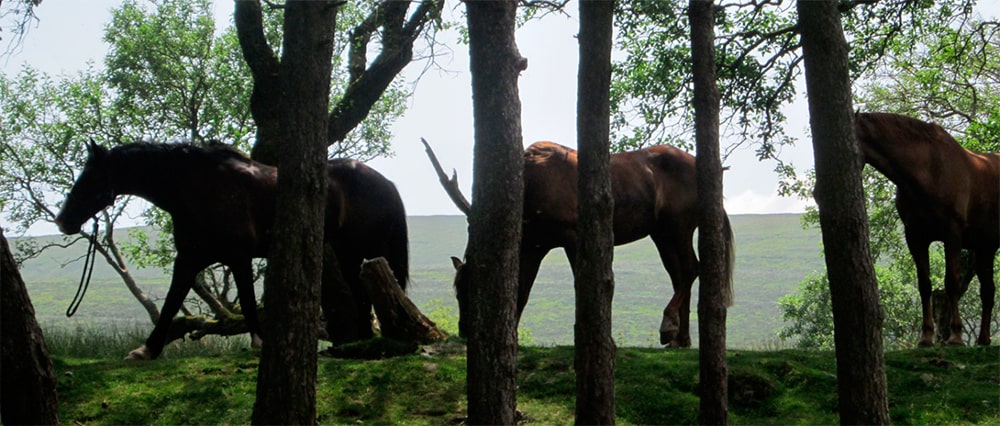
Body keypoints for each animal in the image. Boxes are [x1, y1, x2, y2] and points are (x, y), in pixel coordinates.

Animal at [52, 141, 406, 360]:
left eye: (89, 178)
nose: (63, 219)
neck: (199, 188)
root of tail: (386, 183)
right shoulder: (189, 259)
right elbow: (170, 305)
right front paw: (147, 351)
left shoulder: (238, 257)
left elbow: (247, 303)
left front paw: (259, 343)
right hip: (351, 253)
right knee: (362, 296)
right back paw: (361, 345)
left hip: (359, 250)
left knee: (367, 294)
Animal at [456, 141, 736, 348]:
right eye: (456, 289)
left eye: (471, 288)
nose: (464, 331)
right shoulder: (535, 246)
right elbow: (522, 291)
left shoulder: (570, 235)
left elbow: (583, 283)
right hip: (661, 233)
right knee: (678, 275)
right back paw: (681, 338)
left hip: (679, 225)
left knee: (691, 269)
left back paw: (668, 327)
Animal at [852, 113, 1000, 346]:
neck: (930, 169)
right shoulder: (915, 237)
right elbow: (924, 285)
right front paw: (926, 337)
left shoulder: (952, 235)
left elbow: (951, 283)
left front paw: (955, 336)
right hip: (986, 248)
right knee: (988, 291)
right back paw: (983, 339)